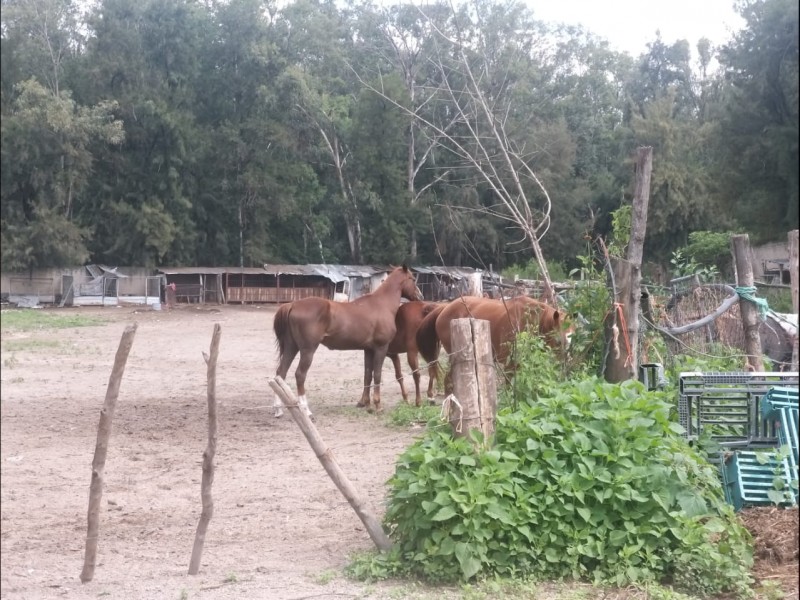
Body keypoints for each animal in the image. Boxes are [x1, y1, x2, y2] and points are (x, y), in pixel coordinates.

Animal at [276, 264, 422, 420]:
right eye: (412, 279)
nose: (420, 296)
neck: (381, 304)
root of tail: (292, 305)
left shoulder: (368, 350)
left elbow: (367, 375)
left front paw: (365, 403)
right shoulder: (381, 348)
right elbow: (377, 375)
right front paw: (378, 405)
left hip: (292, 347)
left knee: (281, 373)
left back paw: (278, 410)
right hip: (307, 350)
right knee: (300, 375)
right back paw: (306, 411)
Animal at [416, 296, 572, 390]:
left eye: (571, 339)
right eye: (559, 341)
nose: (566, 367)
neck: (531, 318)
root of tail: (444, 307)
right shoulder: (510, 363)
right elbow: (509, 385)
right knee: (448, 380)